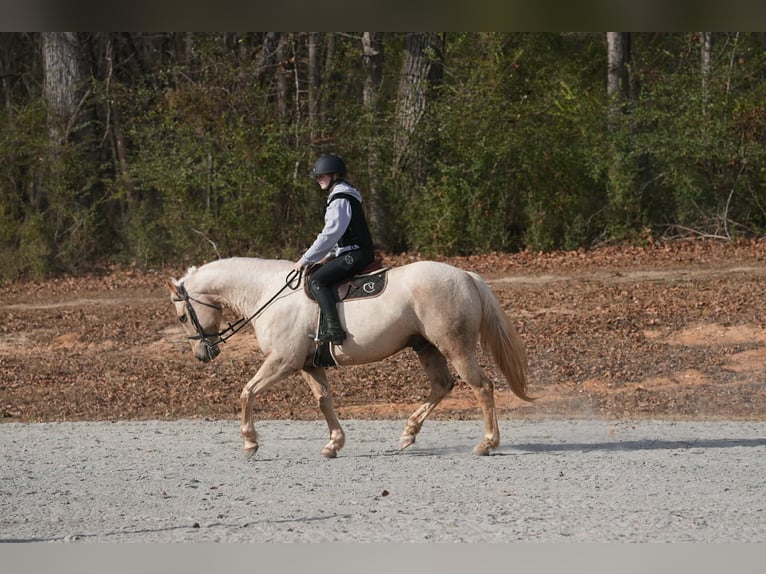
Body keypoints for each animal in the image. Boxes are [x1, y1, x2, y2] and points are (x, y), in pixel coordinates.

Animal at [167, 256, 531, 459]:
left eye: (183, 316)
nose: (203, 353)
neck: (269, 293)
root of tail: (467, 276)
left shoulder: (282, 362)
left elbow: (247, 392)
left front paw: (249, 443)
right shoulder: (308, 366)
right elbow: (324, 402)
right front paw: (334, 444)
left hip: (455, 347)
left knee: (482, 387)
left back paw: (487, 443)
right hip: (425, 347)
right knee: (442, 386)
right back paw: (408, 433)